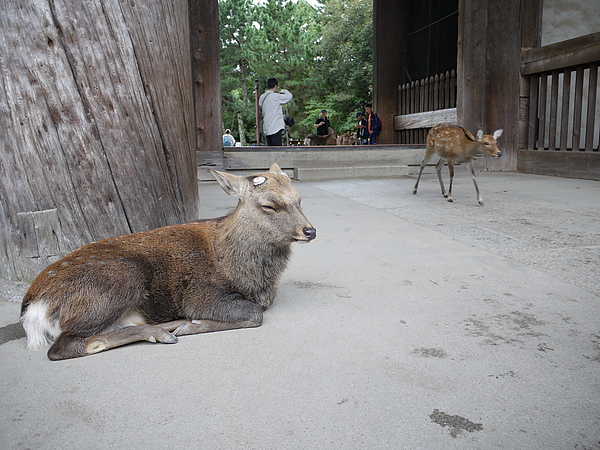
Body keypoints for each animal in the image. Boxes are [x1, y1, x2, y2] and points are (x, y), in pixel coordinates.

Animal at [21, 163, 316, 360]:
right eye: (269, 205)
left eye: (299, 200)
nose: (310, 231)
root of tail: (34, 306)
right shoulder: (202, 294)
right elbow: (254, 314)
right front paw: (194, 324)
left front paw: (188, 325)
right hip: (120, 279)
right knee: (64, 346)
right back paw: (165, 331)